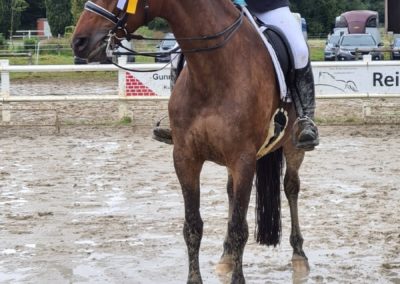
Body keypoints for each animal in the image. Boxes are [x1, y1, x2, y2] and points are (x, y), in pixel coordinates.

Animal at [72, 0, 310, 282]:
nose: (79, 42)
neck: (213, 70)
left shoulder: (243, 159)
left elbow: (239, 228)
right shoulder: (185, 158)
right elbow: (193, 226)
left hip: (292, 147)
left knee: (291, 187)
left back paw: (299, 257)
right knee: (231, 192)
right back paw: (226, 256)